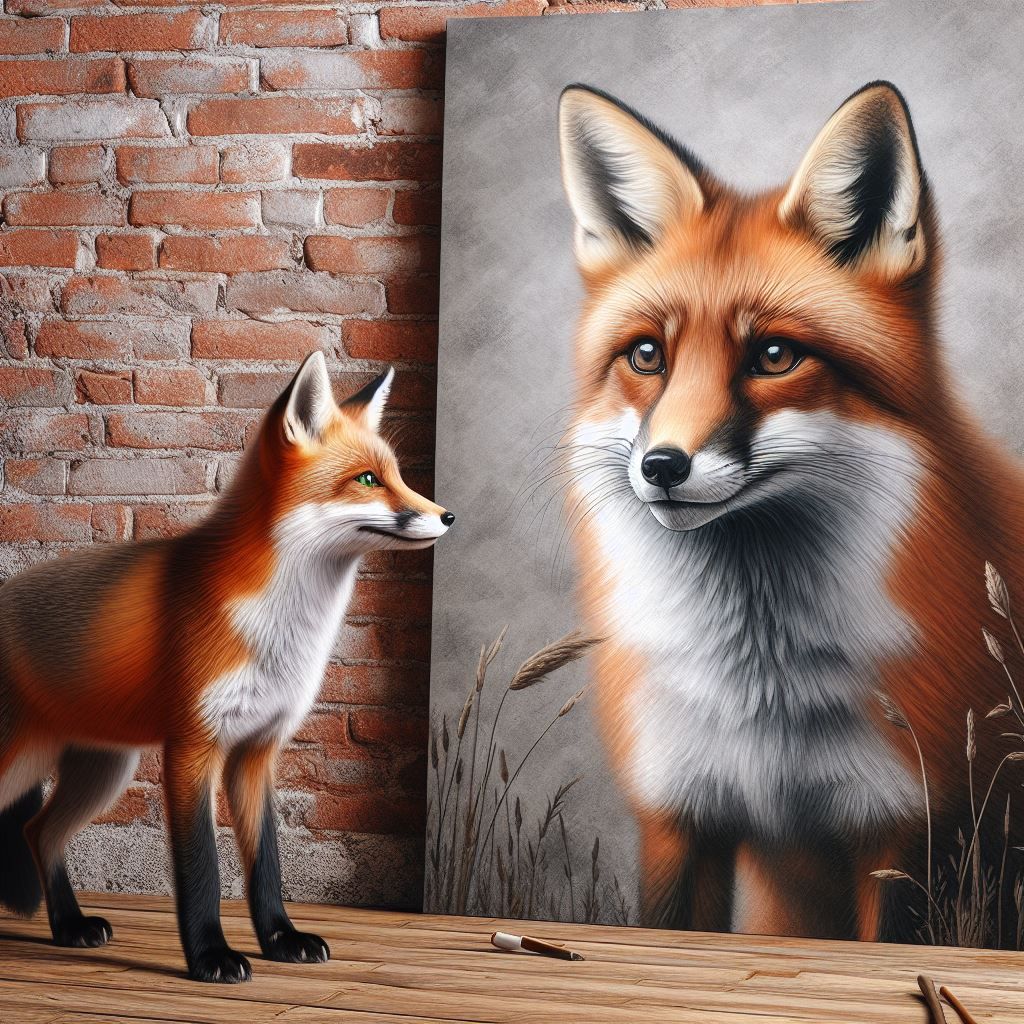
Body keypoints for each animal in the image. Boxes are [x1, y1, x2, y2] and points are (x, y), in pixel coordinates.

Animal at [0, 352, 454, 981]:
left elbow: (266, 864)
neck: (279, 629)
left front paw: (283, 939)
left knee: (37, 831)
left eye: (400, 475)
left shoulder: (257, 750)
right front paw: (211, 955)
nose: (449, 516)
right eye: (368, 479)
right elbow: (203, 866)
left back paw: (69, 926)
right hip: (27, 763)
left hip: (103, 770)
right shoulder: (192, 746)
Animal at [557, 81, 1024, 943]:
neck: (760, 691)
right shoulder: (678, 815)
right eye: (647, 356)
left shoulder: (906, 831)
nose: (660, 467)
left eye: (774, 356)